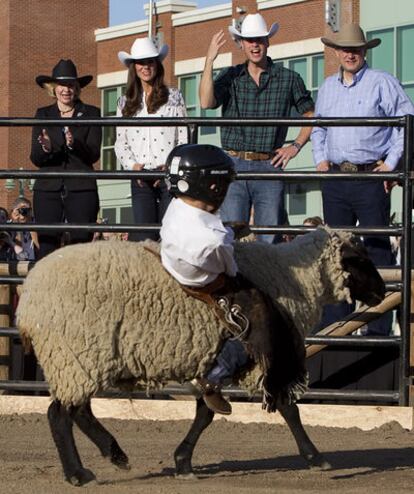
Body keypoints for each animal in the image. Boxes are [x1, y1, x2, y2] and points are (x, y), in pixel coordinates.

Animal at [16, 228, 384, 486]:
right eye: (359, 259)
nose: (381, 291)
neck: (288, 276)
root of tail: (28, 297)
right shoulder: (261, 357)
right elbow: (287, 407)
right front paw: (315, 457)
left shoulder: (209, 359)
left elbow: (206, 412)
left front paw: (183, 461)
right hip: (74, 353)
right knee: (60, 415)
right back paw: (78, 473)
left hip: (79, 358)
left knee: (78, 410)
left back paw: (115, 454)